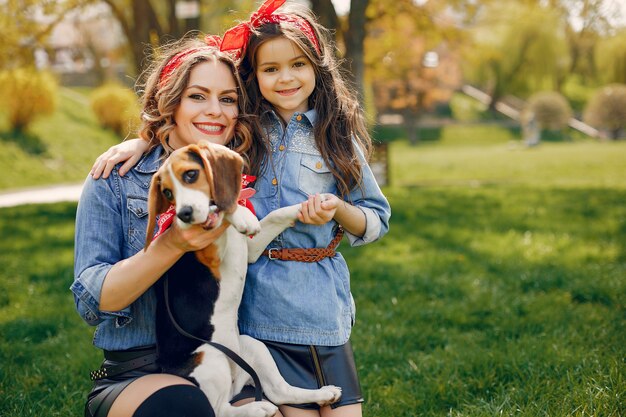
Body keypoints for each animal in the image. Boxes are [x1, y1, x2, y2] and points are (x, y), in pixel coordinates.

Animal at [145, 141, 342, 416]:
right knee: (218, 410)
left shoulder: (250, 249)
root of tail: (233, 384)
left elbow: (276, 215)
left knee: (279, 391)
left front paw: (312, 205)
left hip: (251, 345)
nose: (184, 214)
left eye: (190, 175)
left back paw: (323, 393)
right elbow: (221, 213)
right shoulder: (209, 251)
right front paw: (238, 214)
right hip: (209, 357)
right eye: (167, 193)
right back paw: (258, 409)